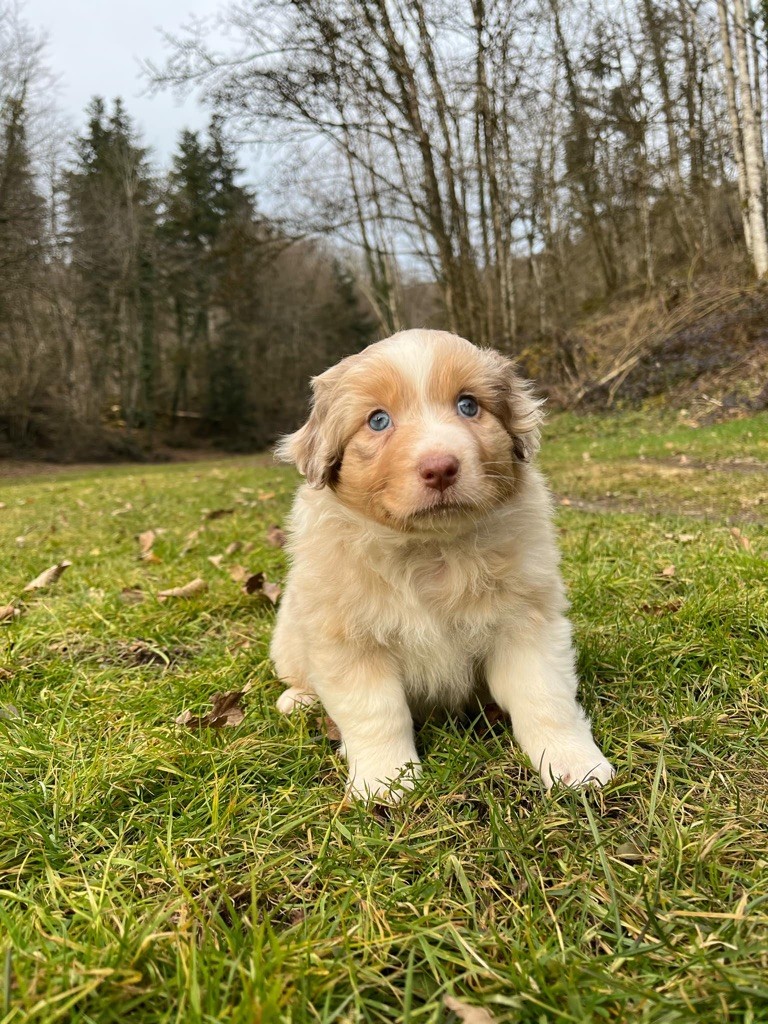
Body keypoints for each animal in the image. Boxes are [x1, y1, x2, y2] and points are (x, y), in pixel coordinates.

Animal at [270, 331, 614, 802]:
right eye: (378, 421)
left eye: (468, 406)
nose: (440, 468)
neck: (429, 548)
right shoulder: (348, 640)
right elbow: (377, 713)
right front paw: (385, 782)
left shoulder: (526, 622)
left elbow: (545, 697)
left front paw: (574, 764)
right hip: (289, 637)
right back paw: (297, 700)